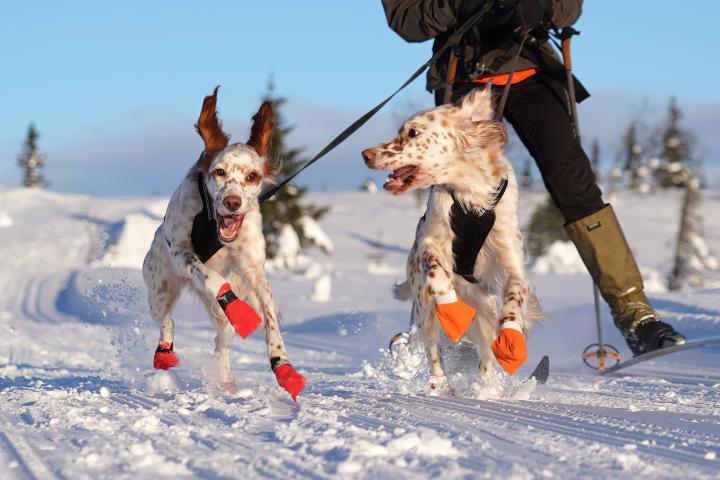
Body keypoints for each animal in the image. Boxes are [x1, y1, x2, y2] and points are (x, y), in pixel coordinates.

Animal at [142, 87, 306, 402]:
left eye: (252, 176)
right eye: (219, 172)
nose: (233, 202)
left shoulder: (254, 271)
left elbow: (270, 320)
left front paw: (284, 367)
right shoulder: (182, 253)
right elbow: (214, 279)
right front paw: (240, 311)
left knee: (221, 345)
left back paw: (228, 383)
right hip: (159, 290)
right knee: (167, 322)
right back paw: (164, 354)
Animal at [362, 88, 536, 396]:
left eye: (413, 132)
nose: (366, 154)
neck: (471, 193)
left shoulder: (510, 258)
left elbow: (514, 297)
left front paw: (512, 337)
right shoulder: (429, 239)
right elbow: (436, 270)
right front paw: (451, 307)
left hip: (481, 303)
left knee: (484, 349)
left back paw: (486, 385)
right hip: (423, 310)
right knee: (433, 349)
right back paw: (441, 385)